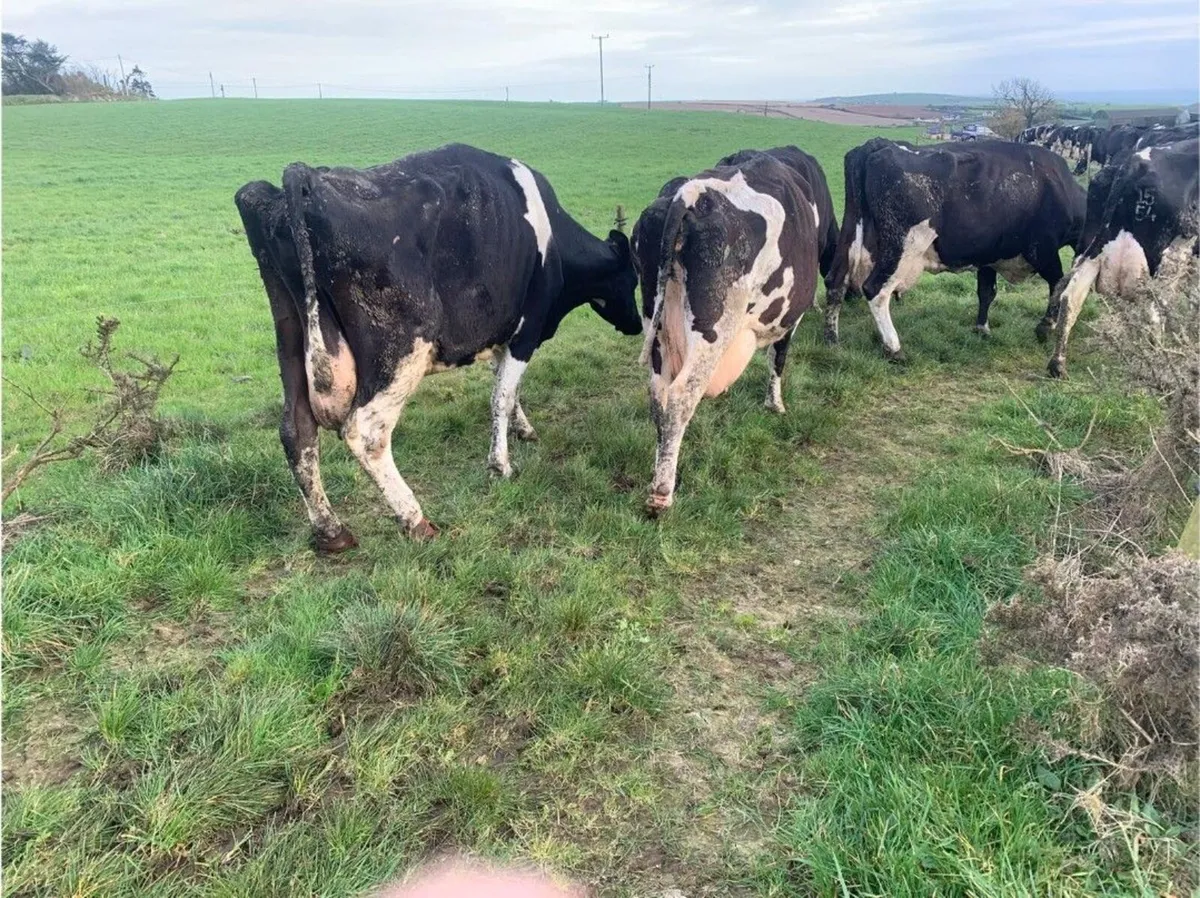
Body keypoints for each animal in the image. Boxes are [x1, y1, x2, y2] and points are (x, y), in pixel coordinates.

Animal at [234, 143, 640, 552]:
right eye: (632, 277)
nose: (638, 324)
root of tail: (305, 177)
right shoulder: (527, 329)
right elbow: (502, 395)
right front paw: (500, 465)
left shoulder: (500, 334)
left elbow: (507, 388)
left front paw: (523, 429)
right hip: (401, 352)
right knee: (365, 430)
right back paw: (415, 519)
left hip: (290, 336)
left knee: (296, 430)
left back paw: (331, 531)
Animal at [634, 152, 821, 514]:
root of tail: (691, 194)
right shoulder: (791, 319)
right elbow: (778, 359)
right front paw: (775, 405)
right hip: (712, 329)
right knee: (680, 397)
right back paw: (662, 494)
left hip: (657, 325)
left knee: (658, 396)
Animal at [823, 138, 1087, 360]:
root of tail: (878, 144)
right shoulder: (1042, 250)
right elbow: (1058, 284)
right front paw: (1045, 326)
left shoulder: (989, 255)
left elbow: (987, 292)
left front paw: (982, 328)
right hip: (901, 246)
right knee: (875, 289)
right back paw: (894, 348)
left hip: (850, 233)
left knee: (835, 281)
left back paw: (832, 340)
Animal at [1047, 137, 1199, 378]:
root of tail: (1134, 163)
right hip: (1161, 261)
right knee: (1154, 313)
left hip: (1095, 248)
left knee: (1070, 296)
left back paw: (1057, 364)